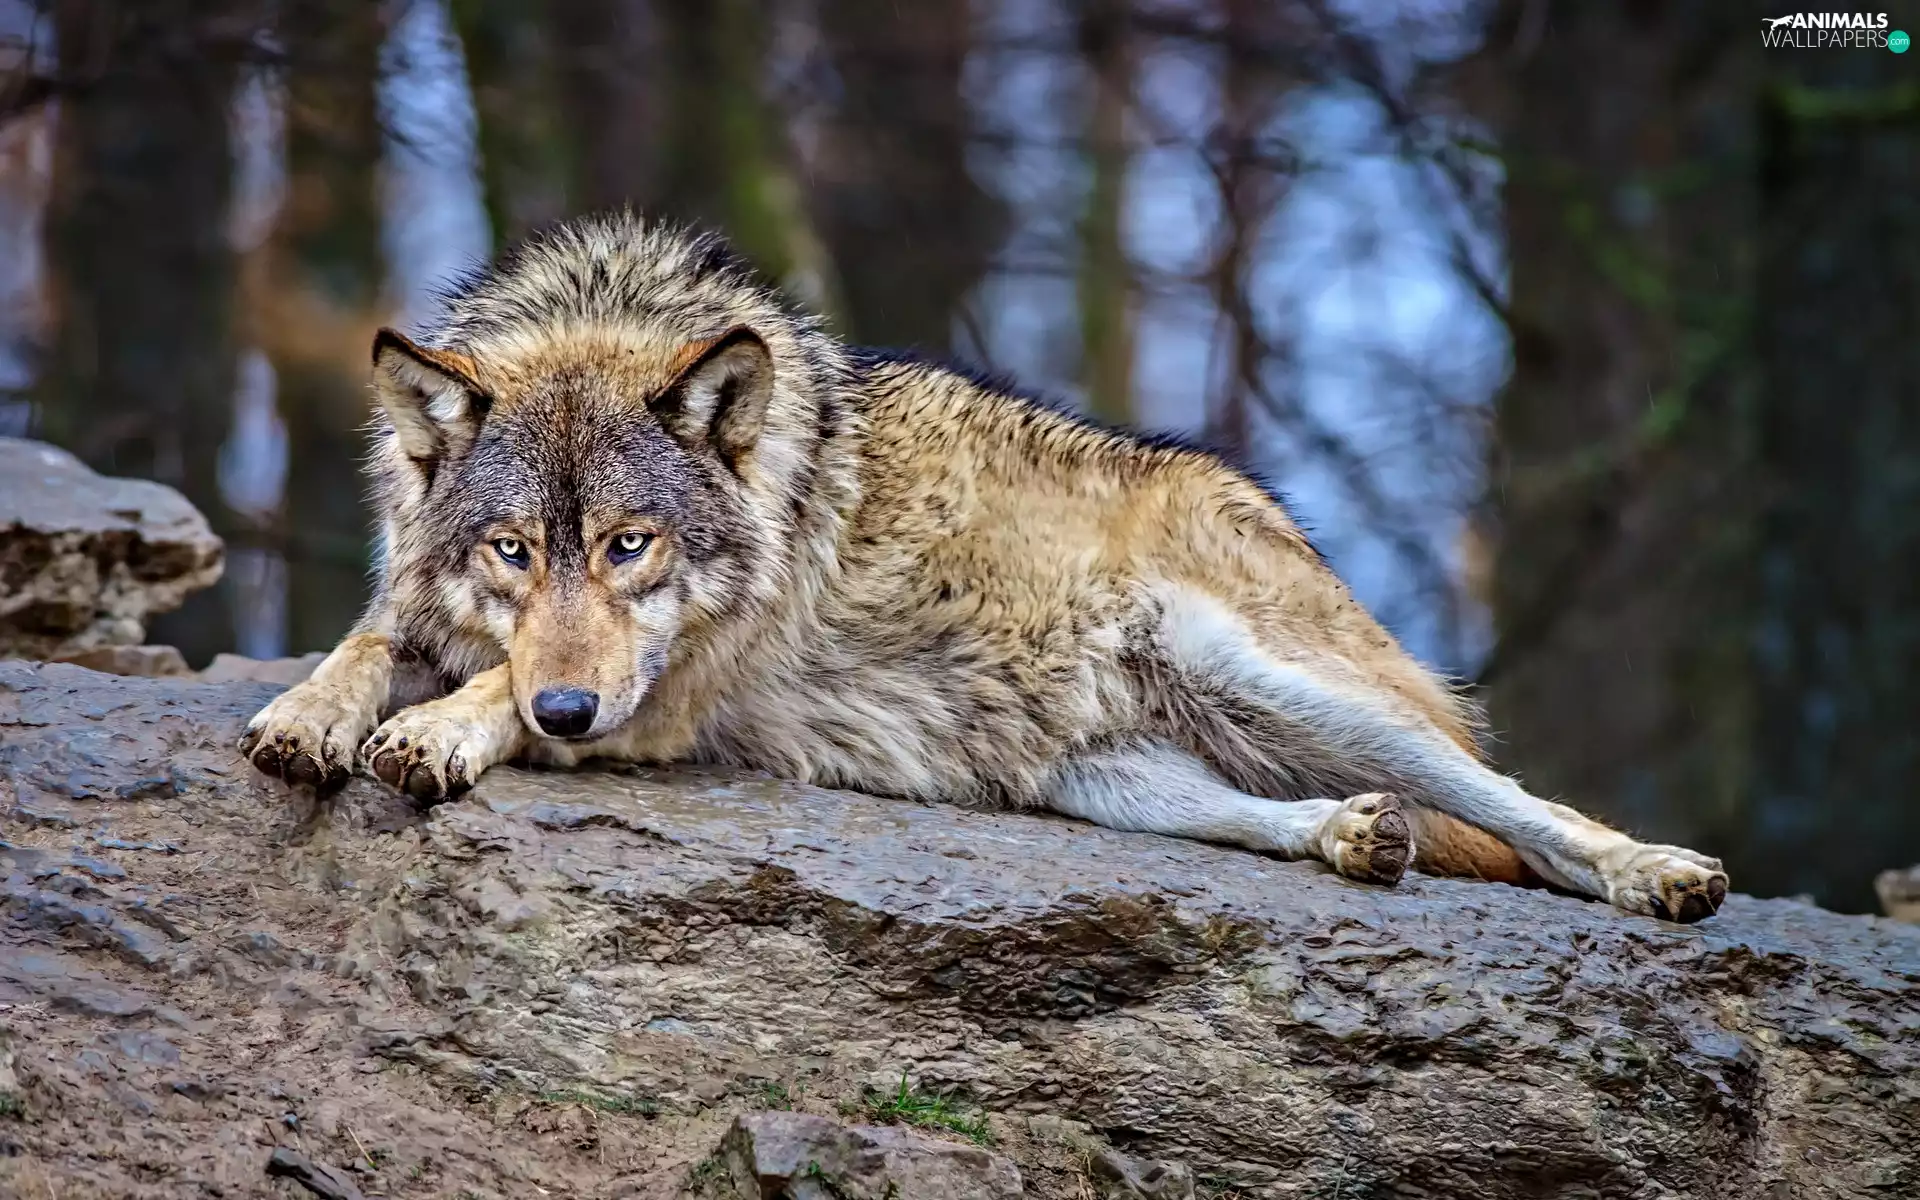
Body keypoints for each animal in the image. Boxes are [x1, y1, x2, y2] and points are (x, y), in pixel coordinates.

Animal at [240, 211, 1728, 923]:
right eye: (513, 548)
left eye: (629, 546)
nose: (567, 712)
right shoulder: (427, 606)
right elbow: (368, 643)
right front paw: (309, 715)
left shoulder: (661, 703)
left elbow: (488, 688)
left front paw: (438, 730)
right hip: (1102, 784)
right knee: (1297, 820)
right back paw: (1354, 839)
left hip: (1284, 684)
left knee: (1524, 809)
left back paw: (1656, 874)